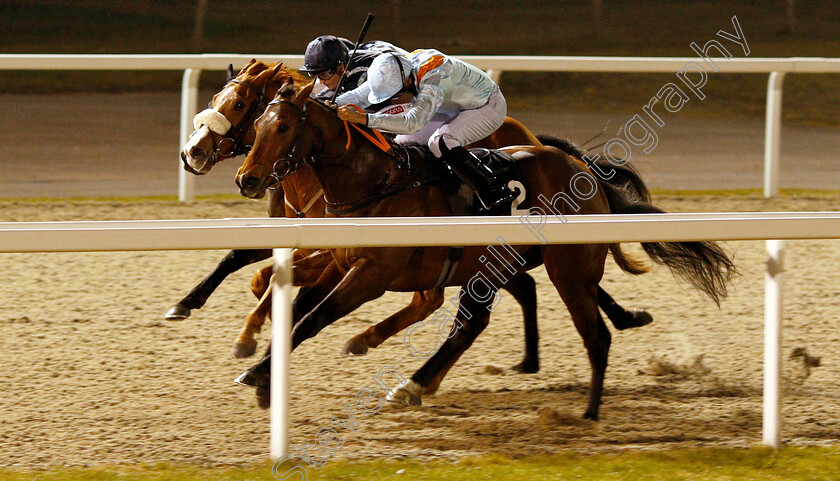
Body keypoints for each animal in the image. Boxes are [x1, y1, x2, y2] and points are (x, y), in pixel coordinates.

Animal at [177, 61, 648, 368]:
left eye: (240, 104)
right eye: (218, 98)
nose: (192, 152)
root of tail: (533, 137)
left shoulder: (336, 250)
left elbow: (266, 277)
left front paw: (252, 335)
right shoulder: (302, 234)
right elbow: (244, 262)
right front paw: (192, 306)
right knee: (522, 286)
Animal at [231, 80, 736, 418]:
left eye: (281, 126)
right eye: (256, 124)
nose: (246, 180)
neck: (375, 182)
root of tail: (582, 169)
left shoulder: (372, 274)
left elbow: (312, 318)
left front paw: (260, 378)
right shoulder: (339, 263)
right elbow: (297, 311)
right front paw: (260, 373)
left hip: (565, 269)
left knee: (574, 331)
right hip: (496, 265)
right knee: (475, 322)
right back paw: (415, 383)